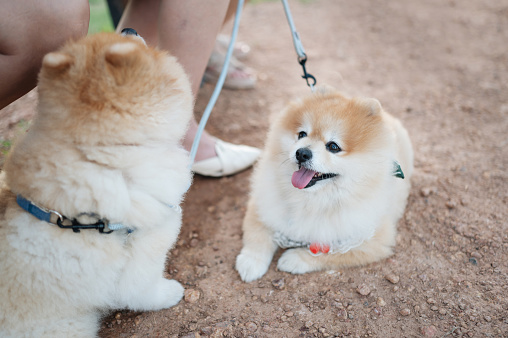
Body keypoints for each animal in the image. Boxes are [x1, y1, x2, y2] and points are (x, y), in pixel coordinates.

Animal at [236, 86, 414, 282]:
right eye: (301, 134)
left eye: (333, 146)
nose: (302, 153)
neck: (313, 199)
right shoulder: (263, 204)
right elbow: (257, 234)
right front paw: (250, 263)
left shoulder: (372, 240)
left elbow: (328, 253)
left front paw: (294, 259)